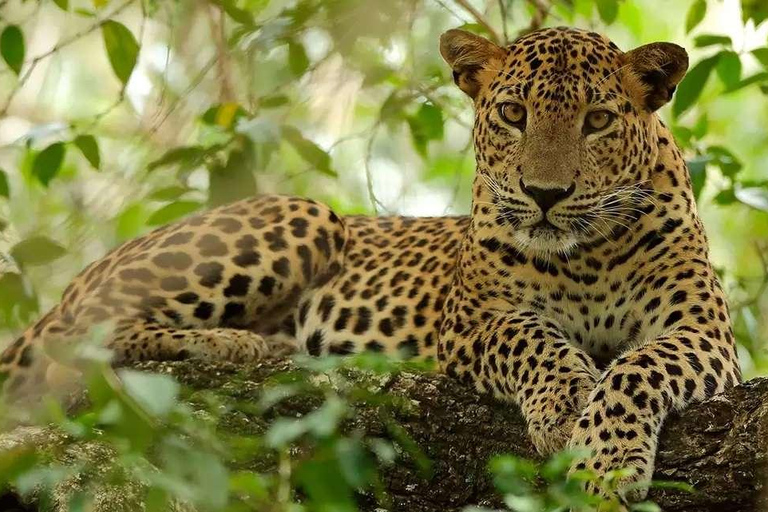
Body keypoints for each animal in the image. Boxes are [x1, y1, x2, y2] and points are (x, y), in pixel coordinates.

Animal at [1, 27, 744, 500]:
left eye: (597, 121)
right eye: (512, 113)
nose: (544, 194)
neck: (584, 255)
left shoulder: (703, 334)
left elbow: (638, 368)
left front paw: (606, 458)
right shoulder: (473, 322)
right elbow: (533, 337)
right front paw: (565, 405)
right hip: (305, 216)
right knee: (79, 341)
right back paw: (234, 344)